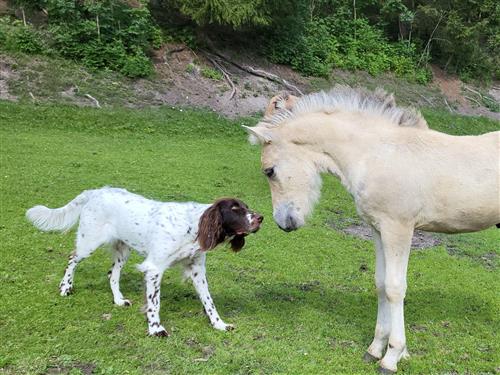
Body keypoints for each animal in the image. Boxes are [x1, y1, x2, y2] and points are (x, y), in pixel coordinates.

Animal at [27, 188, 264, 338]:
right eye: (235, 209)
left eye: (246, 207)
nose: (260, 218)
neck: (193, 226)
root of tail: (95, 192)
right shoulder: (154, 268)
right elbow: (154, 303)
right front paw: (155, 329)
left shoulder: (197, 270)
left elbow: (209, 302)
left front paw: (219, 324)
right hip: (89, 242)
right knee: (72, 259)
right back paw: (65, 287)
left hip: (122, 251)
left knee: (112, 274)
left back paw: (118, 300)